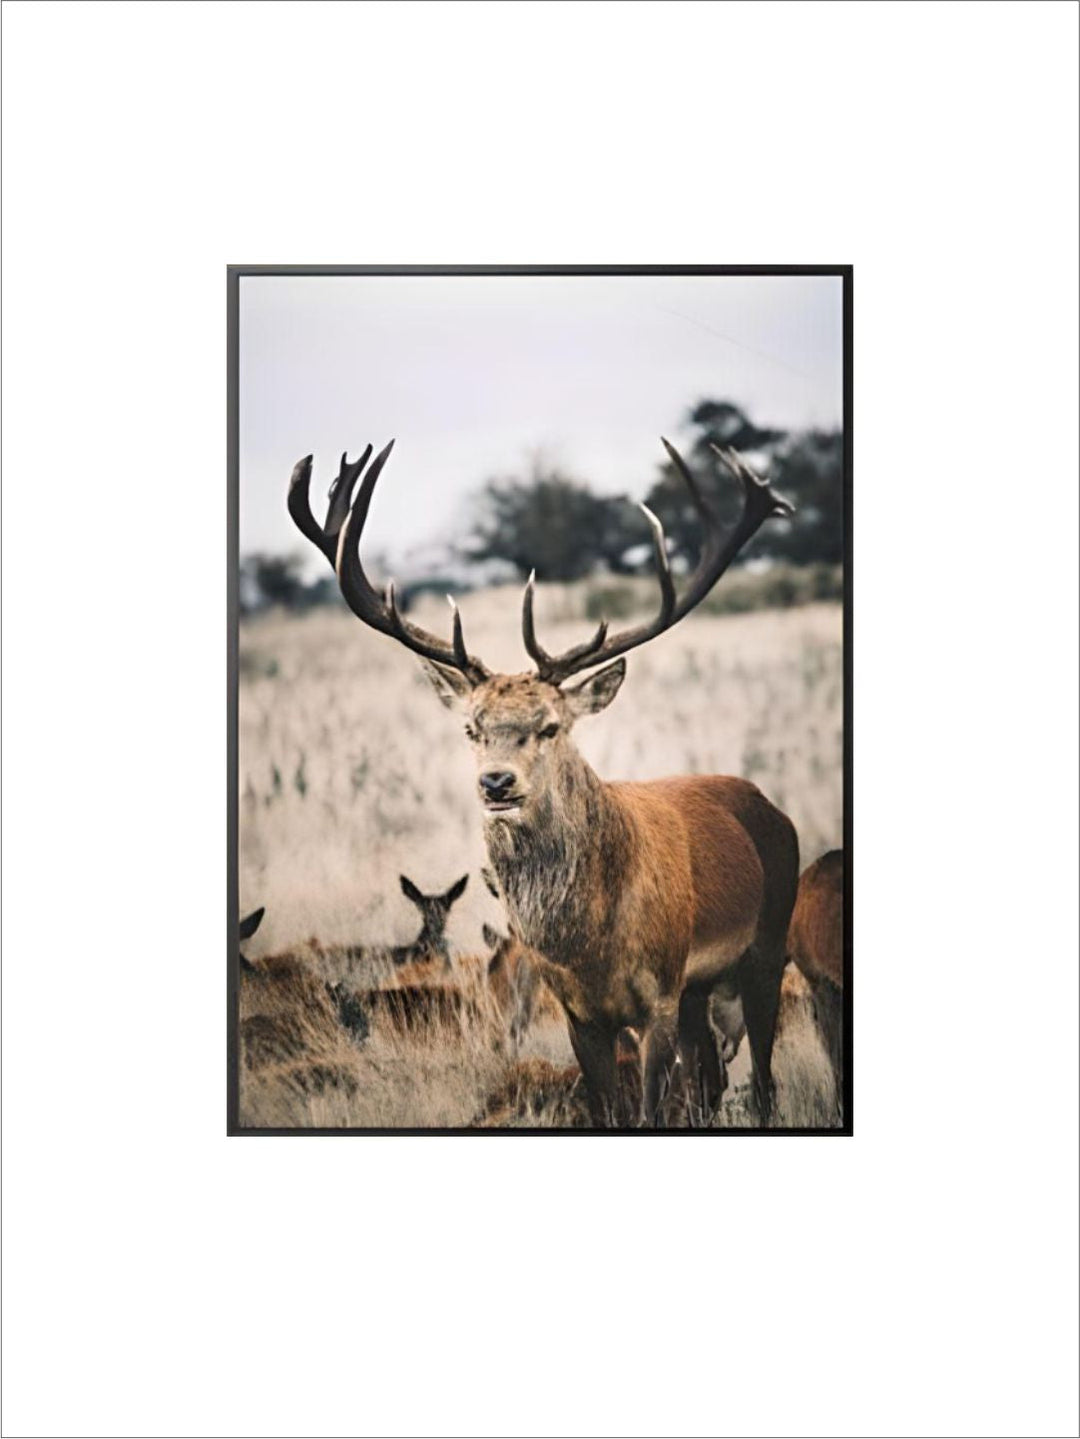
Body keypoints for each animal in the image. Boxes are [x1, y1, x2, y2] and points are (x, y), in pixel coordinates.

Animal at [287, 437, 799, 1126]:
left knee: (763, 1079)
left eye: (550, 726)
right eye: (472, 728)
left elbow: (648, 1111)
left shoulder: (658, 995)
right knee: (711, 1084)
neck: (592, 946)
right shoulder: (581, 1011)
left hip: (765, 945)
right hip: (700, 988)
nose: (496, 783)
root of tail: (770, 807)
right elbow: (611, 1110)